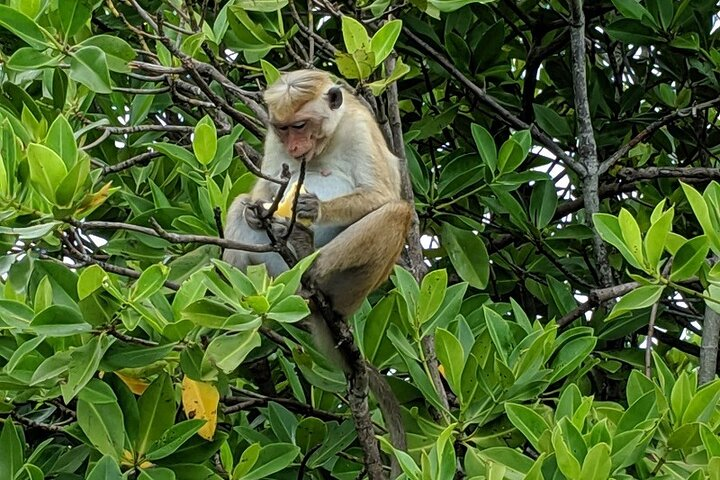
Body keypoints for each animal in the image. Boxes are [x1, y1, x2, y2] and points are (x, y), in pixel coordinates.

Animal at [225, 68, 410, 476]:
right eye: (283, 129)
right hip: (271, 272)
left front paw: (314, 208)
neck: (329, 138)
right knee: (238, 206)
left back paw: (311, 268)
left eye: (301, 125)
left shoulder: (359, 127)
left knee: (396, 213)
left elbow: (383, 194)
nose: (295, 149)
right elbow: (262, 189)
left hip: (350, 290)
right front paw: (256, 210)